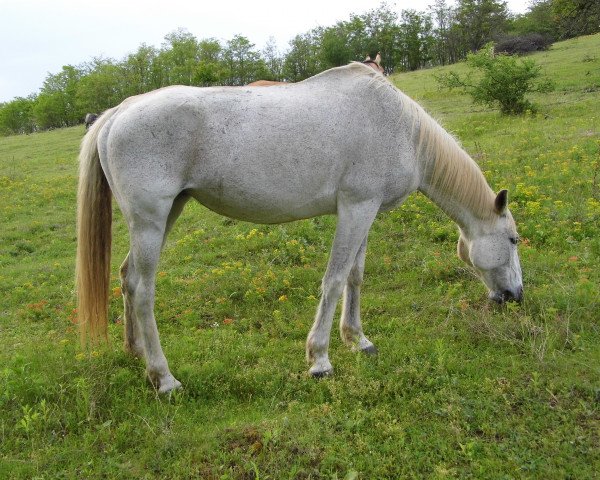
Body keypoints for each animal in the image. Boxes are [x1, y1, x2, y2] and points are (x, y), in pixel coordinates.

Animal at [77, 62, 524, 394]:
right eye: (514, 239)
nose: (515, 296)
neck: (402, 130)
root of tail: (117, 113)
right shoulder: (356, 208)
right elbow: (335, 278)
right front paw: (320, 359)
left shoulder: (367, 210)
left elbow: (355, 276)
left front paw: (358, 340)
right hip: (151, 221)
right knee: (142, 290)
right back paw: (164, 378)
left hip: (167, 213)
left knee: (126, 278)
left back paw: (136, 353)